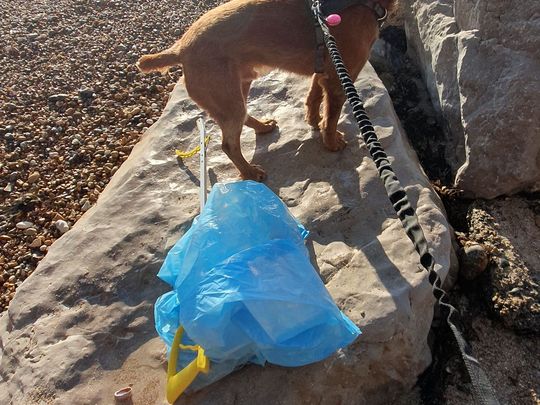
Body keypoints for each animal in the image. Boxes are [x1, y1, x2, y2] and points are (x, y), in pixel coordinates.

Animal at [137, 0, 394, 180]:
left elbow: (313, 98)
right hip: (227, 99)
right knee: (229, 144)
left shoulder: (322, 72)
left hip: (238, 89)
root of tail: (180, 48)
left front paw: (313, 121)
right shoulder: (339, 79)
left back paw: (262, 127)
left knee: (242, 118)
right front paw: (331, 143)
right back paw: (251, 173)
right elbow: (331, 118)